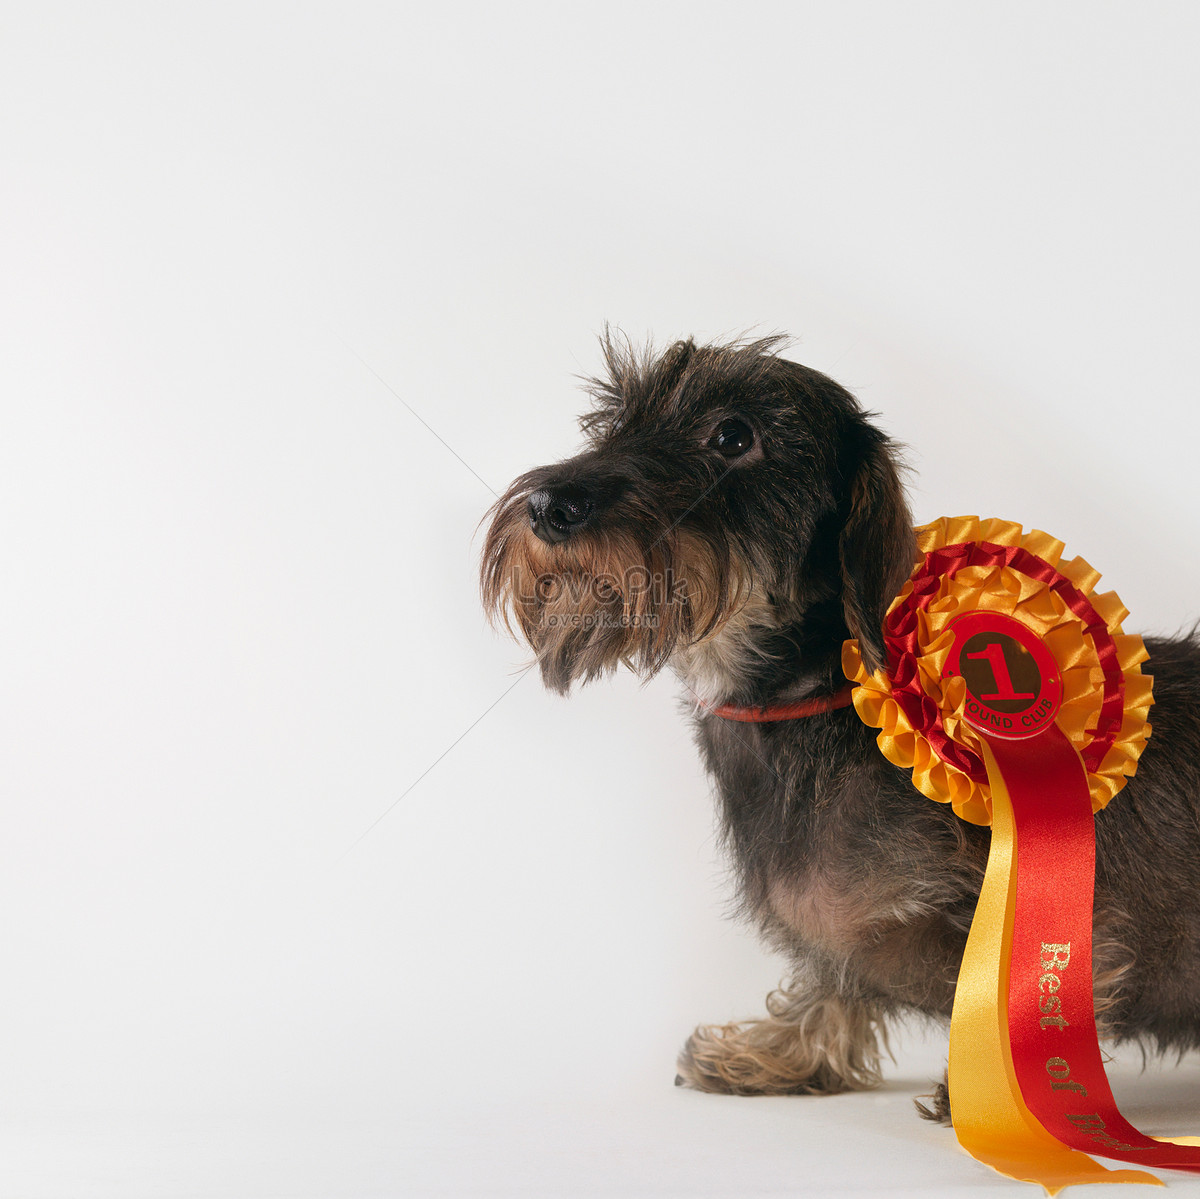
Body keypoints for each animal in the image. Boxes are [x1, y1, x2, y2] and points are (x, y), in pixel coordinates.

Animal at [477, 333, 1200, 1118]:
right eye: (612, 421)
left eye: (733, 435)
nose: (549, 505)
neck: (810, 703)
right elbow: (832, 982)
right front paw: (786, 1051)